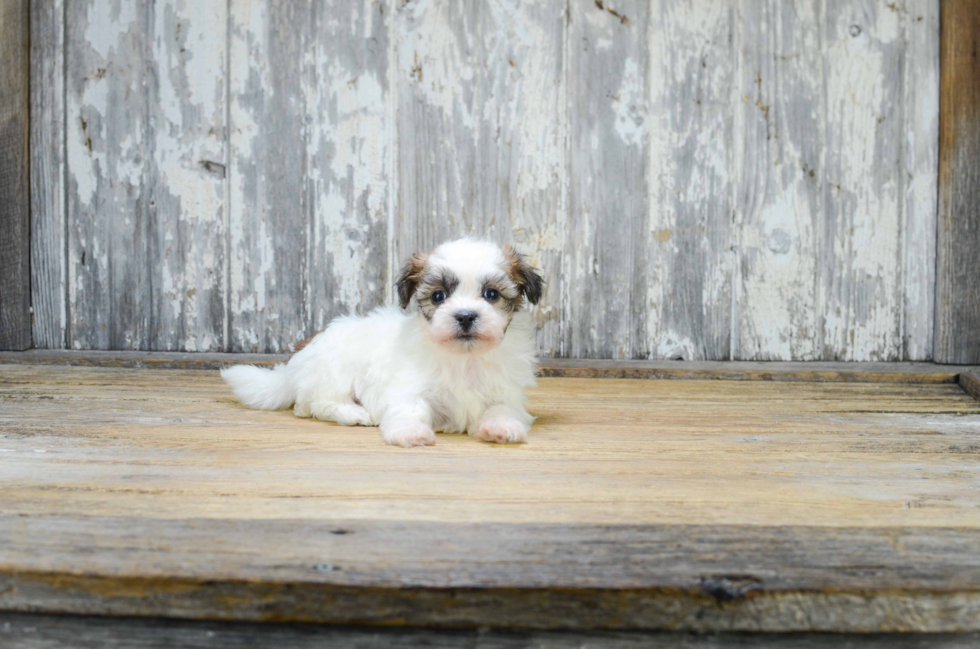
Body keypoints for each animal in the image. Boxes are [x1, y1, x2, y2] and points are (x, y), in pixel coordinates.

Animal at [222, 238, 544, 446]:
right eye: (439, 296)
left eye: (491, 294)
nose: (465, 316)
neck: (464, 358)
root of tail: (298, 358)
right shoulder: (409, 388)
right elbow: (409, 409)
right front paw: (411, 433)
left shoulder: (506, 392)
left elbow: (503, 409)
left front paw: (501, 428)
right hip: (333, 371)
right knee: (312, 405)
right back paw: (353, 413)